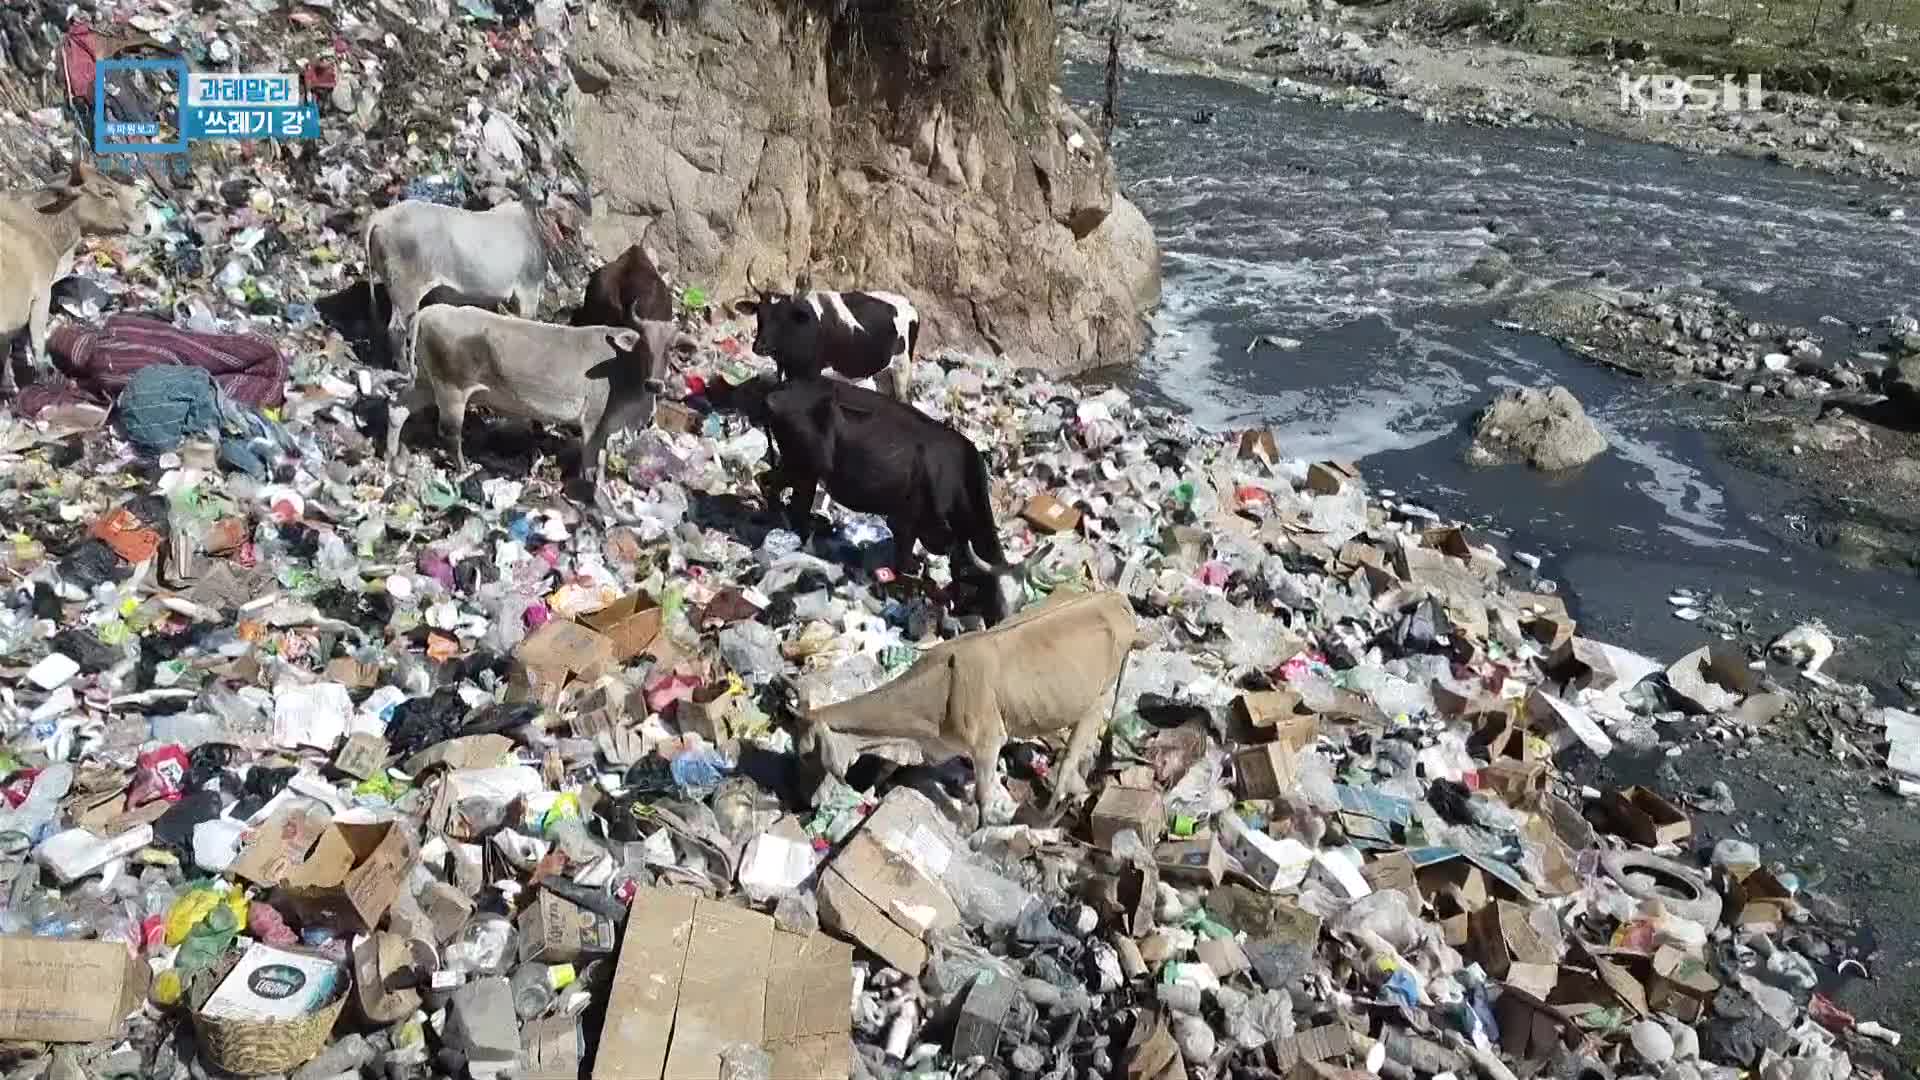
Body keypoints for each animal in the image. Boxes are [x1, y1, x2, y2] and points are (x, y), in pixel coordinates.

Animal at [725, 284, 921, 401]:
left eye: (783, 317)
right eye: (759, 315)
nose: (759, 347)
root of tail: (909, 303)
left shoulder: (812, 373)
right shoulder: (787, 370)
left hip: (902, 366)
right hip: (884, 372)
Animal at [794, 588, 1136, 814]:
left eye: (807, 754)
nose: (804, 804)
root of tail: (1115, 596)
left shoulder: (987, 742)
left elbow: (984, 799)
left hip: (1099, 699)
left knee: (1073, 757)